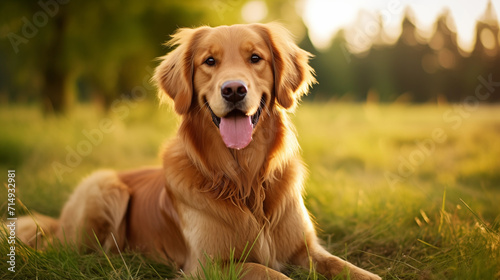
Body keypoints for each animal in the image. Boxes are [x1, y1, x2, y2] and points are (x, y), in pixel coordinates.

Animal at [17, 23, 380, 278]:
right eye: (209, 61)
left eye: (255, 58)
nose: (234, 90)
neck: (245, 179)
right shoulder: (210, 265)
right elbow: (272, 274)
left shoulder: (306, 249)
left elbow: (353, 270)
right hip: (103, 188)